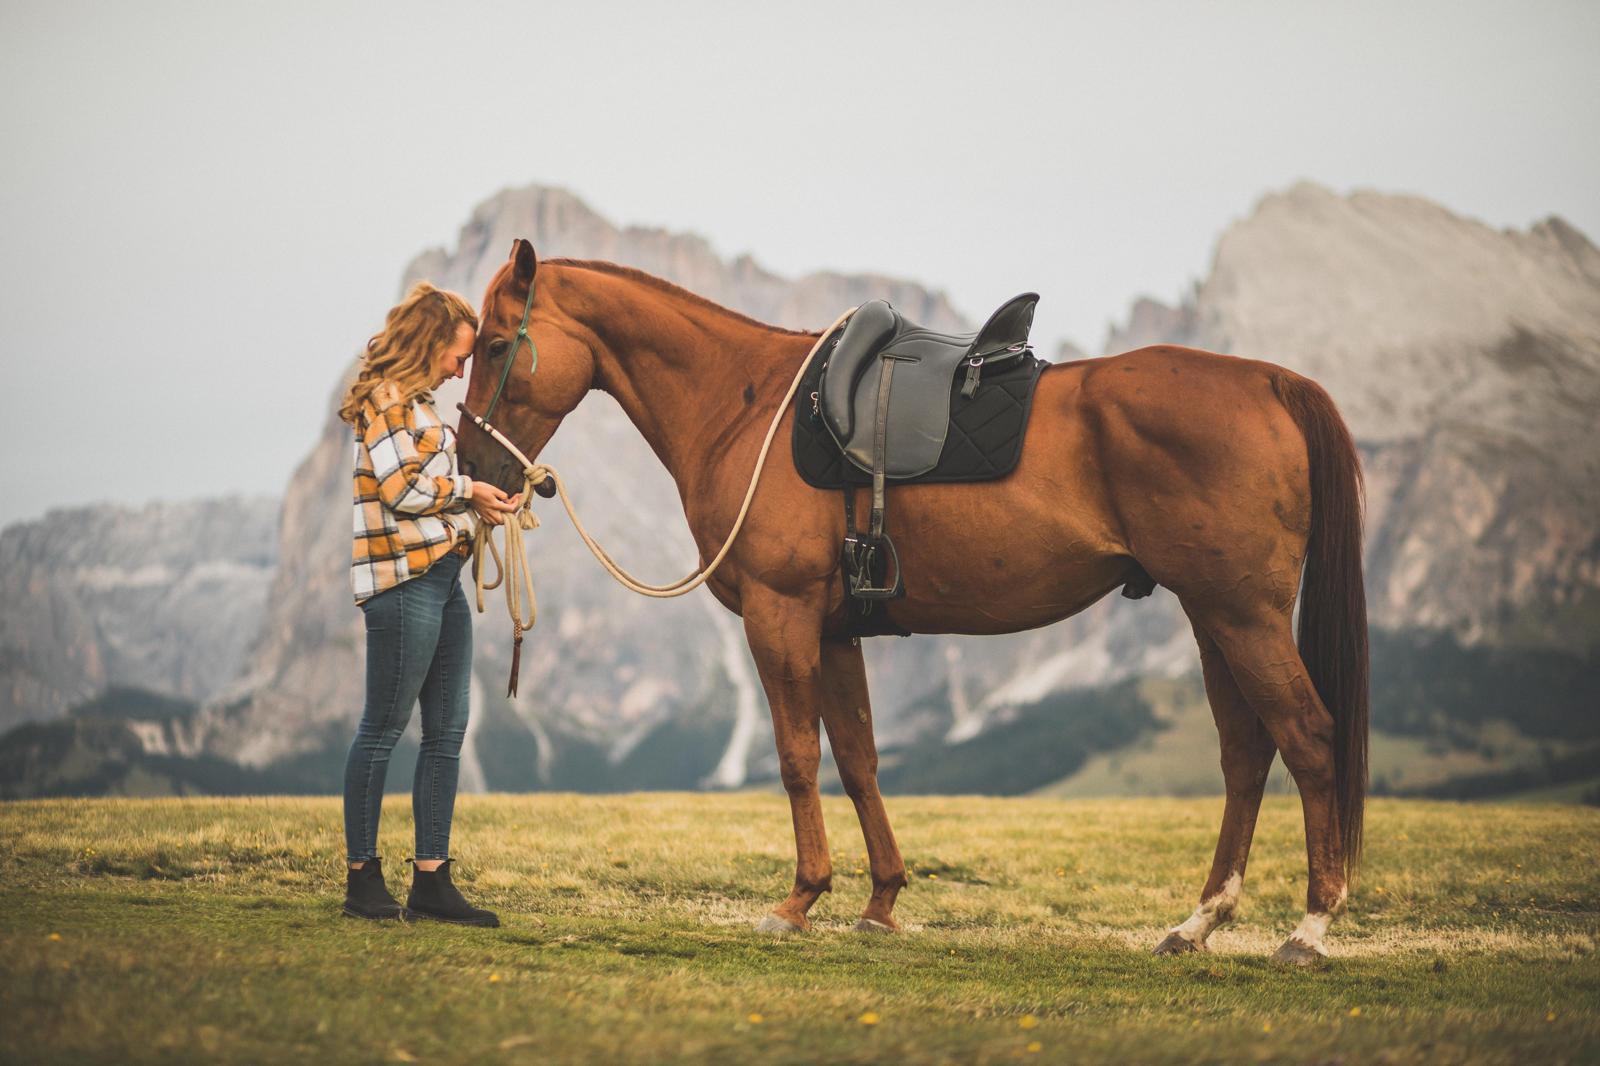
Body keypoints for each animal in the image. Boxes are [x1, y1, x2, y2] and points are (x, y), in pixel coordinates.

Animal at [455, 239, 1369, 965]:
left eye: (497, 344)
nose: (473, 469)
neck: (745, 401)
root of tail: (1273, 383)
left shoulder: (781, 617)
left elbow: (797, 757)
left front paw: (800, 899)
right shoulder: (835, 632)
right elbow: (859, 760)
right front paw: (881, 900)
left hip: (1242, 617)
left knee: (1309, 737)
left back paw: (1310, 927)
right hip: (1214, 619)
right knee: (1246, 754)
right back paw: (1198, 923)